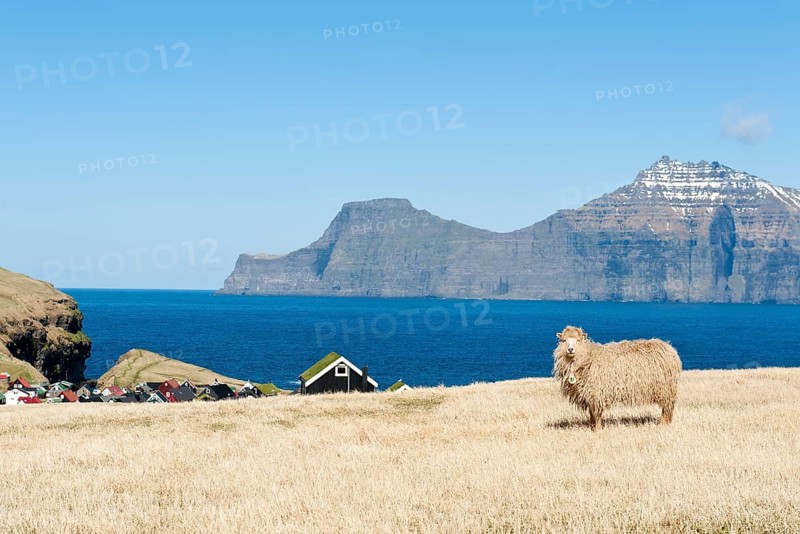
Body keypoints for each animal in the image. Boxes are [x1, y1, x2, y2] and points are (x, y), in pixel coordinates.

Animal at [553, 326, 681, 431]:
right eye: (564, 340)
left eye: (578, 340)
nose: (570, 350)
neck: (588, 357)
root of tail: (669, 347)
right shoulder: (589, 394)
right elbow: (592, 414)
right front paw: (591, 427)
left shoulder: (597, 393)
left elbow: (597, 414)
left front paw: (597, 429)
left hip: (666, 389)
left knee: (667, 408)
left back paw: (663, 424)